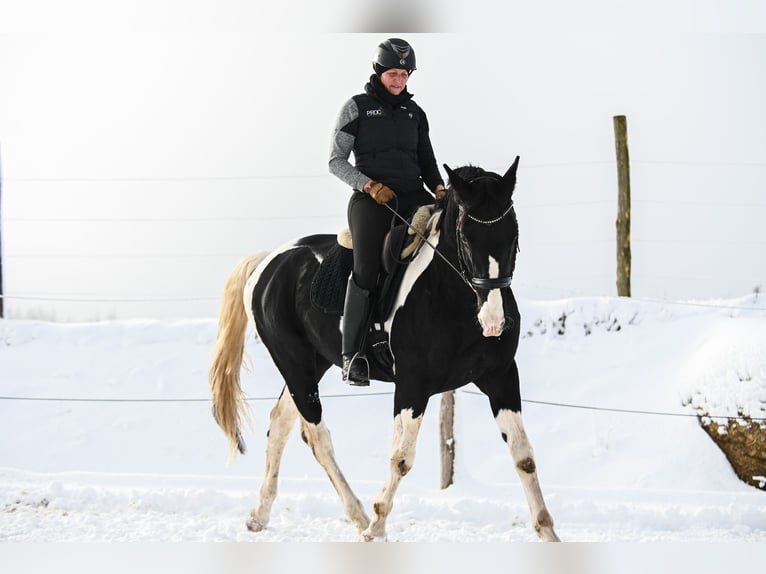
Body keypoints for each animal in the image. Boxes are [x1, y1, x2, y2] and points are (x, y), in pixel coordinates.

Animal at [207, 159, 560, 544]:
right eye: (466, 237)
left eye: (513, 234)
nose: (494, 321)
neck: (452, 297)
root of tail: (268, 261)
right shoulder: (412, 385)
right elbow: (401, 458)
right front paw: (376, 528)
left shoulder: (500, 377)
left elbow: (523, 455)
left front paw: (548, 532)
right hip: (293, 360)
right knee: (316, 435)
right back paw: (359, 516)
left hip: (314, 362)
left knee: (281, 423)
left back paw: (259, 514)